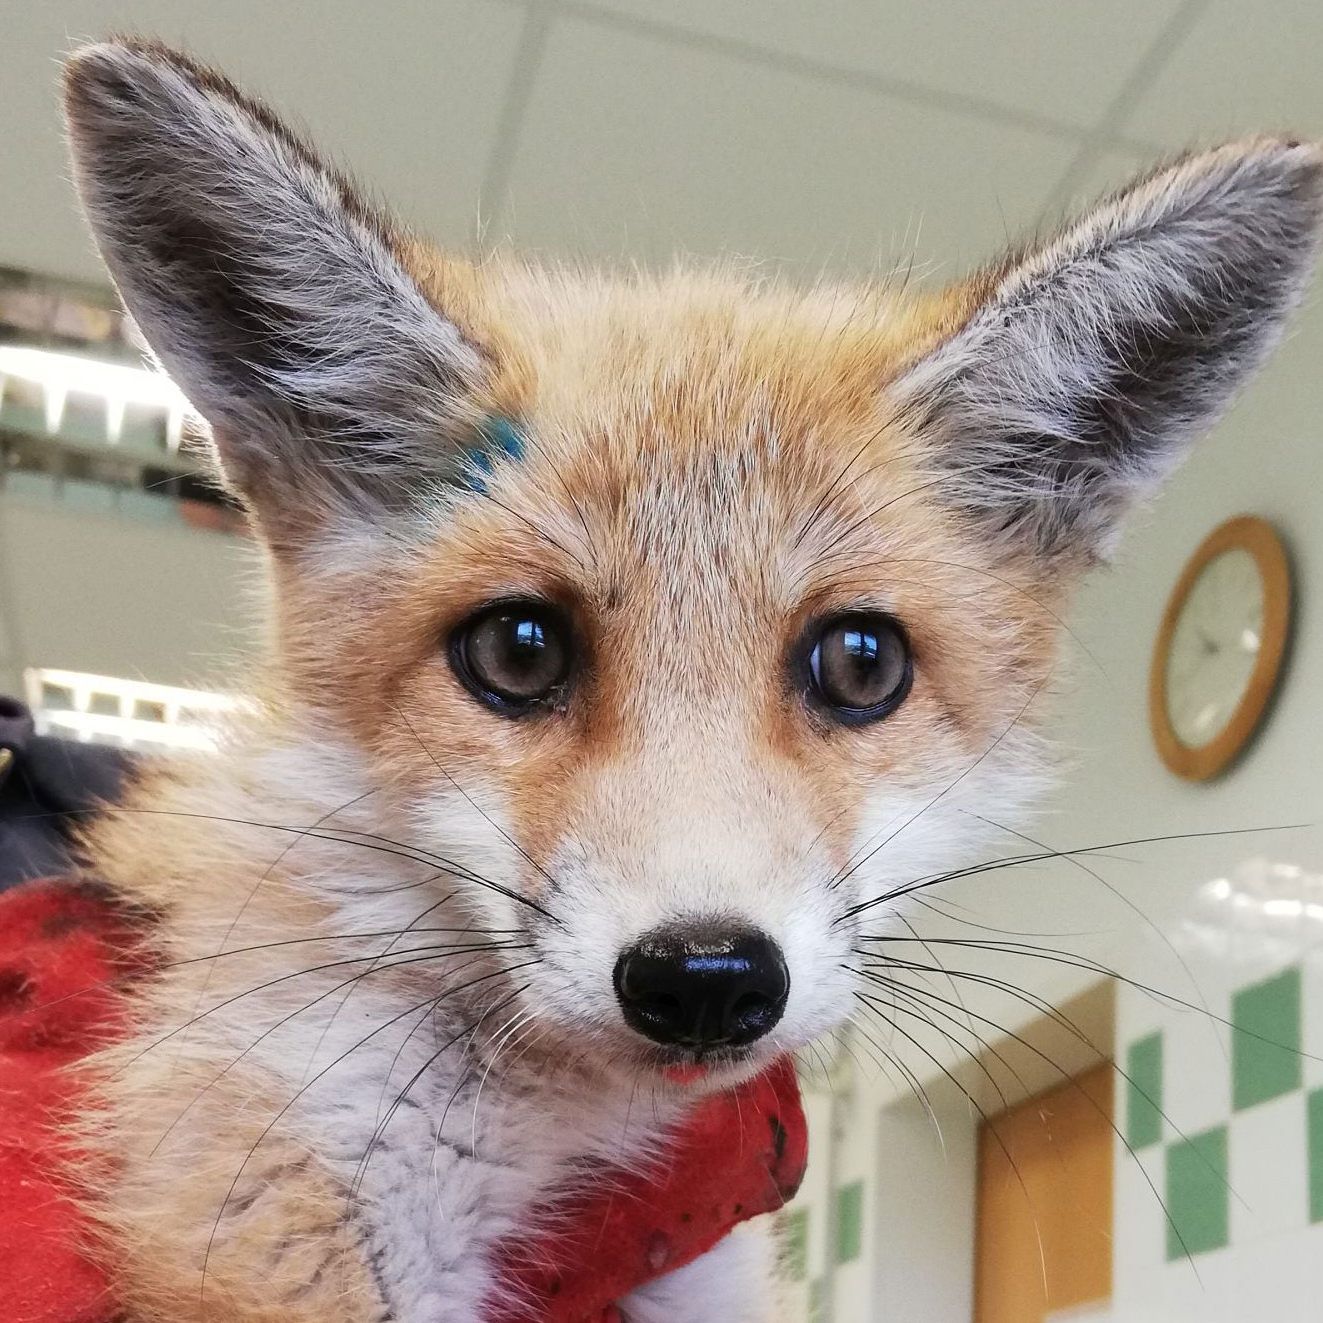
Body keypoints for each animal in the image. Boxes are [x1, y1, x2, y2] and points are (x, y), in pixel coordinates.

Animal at [48, 35, 1323, 1323]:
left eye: (860, 663)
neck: (552, 1135)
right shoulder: (259, 1176)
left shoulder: (696, 1269)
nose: (707, 979)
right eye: (519, 650)